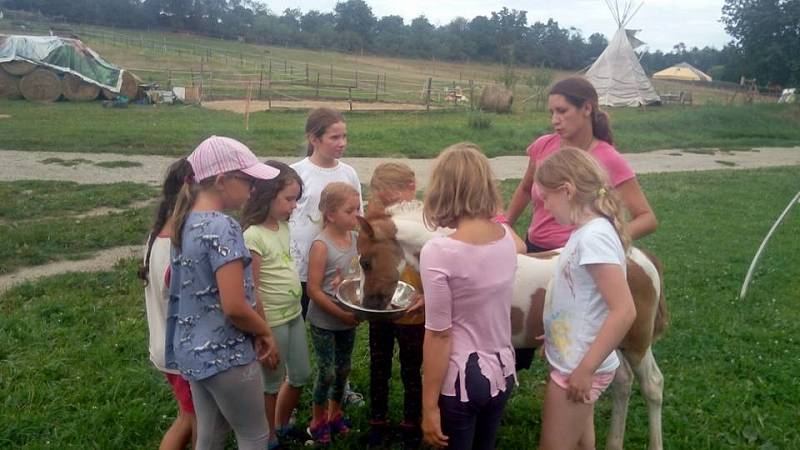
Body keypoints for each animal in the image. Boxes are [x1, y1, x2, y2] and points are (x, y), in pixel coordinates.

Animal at [356, 201, 668, 450]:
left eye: (366, 262)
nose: (370, 304)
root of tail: (641, 258)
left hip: (636, 342)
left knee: (652, 384)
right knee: (622, 382)